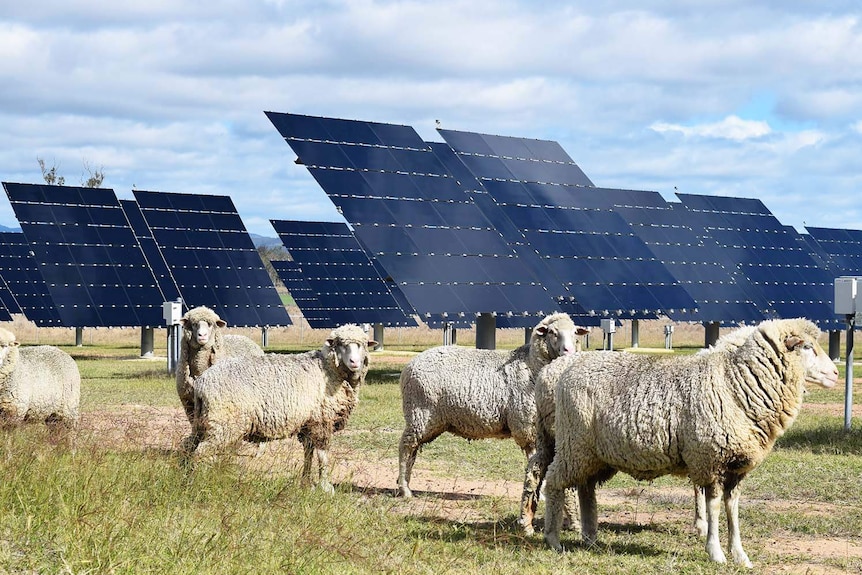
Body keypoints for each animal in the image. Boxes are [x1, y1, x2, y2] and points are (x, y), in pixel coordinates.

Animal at [187, 324, 376, 496]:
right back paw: (201, 483)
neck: (328, 370)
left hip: (205, 421)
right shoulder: (321, 420)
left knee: (189, 446)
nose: (354, 362)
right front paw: (325, 487)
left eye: (362, 344)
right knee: (201, 452)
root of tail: (201, 383)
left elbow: (308, 453)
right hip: (223, 424)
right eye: (340, 344)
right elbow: (323, 455)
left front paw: (306, 483)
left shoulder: (308, 423)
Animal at [396, 312, 588, 498]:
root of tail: (409, 366)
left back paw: (404, 485)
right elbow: (536, 461)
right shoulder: (528, 427)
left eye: (575, 333)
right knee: (406, 447)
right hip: (420, 413)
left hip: (430, 421)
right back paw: (405, 489)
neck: (531, 365)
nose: (568, 351)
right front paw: (538, 494)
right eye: (552, 332)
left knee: (413, 450)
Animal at [548, 320, 836, 568]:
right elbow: (714, 507)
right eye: (806, 347)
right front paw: (716, 552)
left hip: (593, 455)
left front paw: (740, 555)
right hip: (573, 444)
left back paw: (590, 539)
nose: (834, 373)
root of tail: (569, 368)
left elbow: (733, 509)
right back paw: (553, 539)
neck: (736, 384)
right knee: (553, 483)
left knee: (586, 490)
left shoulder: (736, 465)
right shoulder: (711, 459)